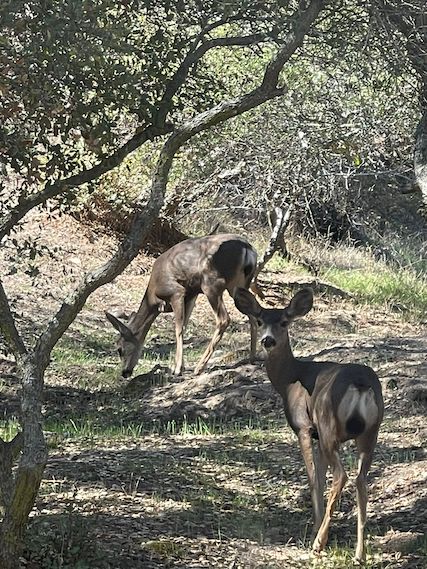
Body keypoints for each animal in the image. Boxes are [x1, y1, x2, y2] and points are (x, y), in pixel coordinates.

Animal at [107, 233, 260, 380]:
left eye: (119, 349)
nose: (124, 373)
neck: (153, 297)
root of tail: (248, 249)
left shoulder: (176, 292)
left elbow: (178, 329)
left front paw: (177, 369)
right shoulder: (191, 295)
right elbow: (185, 326)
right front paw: (180, 365)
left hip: (212, 283)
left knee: (224, 319)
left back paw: (199, 367)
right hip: (239, 284)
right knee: (252, 315)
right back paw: (252, 357)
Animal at [234, 286, 384, 560]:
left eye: (284, 322)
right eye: (260, 321)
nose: (268, 340)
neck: (289, 379)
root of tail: (360, 384)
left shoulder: (304, 427)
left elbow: (313, 476)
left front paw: (315, 527)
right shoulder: (316, 434)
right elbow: (320, 477)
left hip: (328, 427)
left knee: (342, 476)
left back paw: (319, 542)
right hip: (370, 432)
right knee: (361, 480)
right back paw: (359, 554)